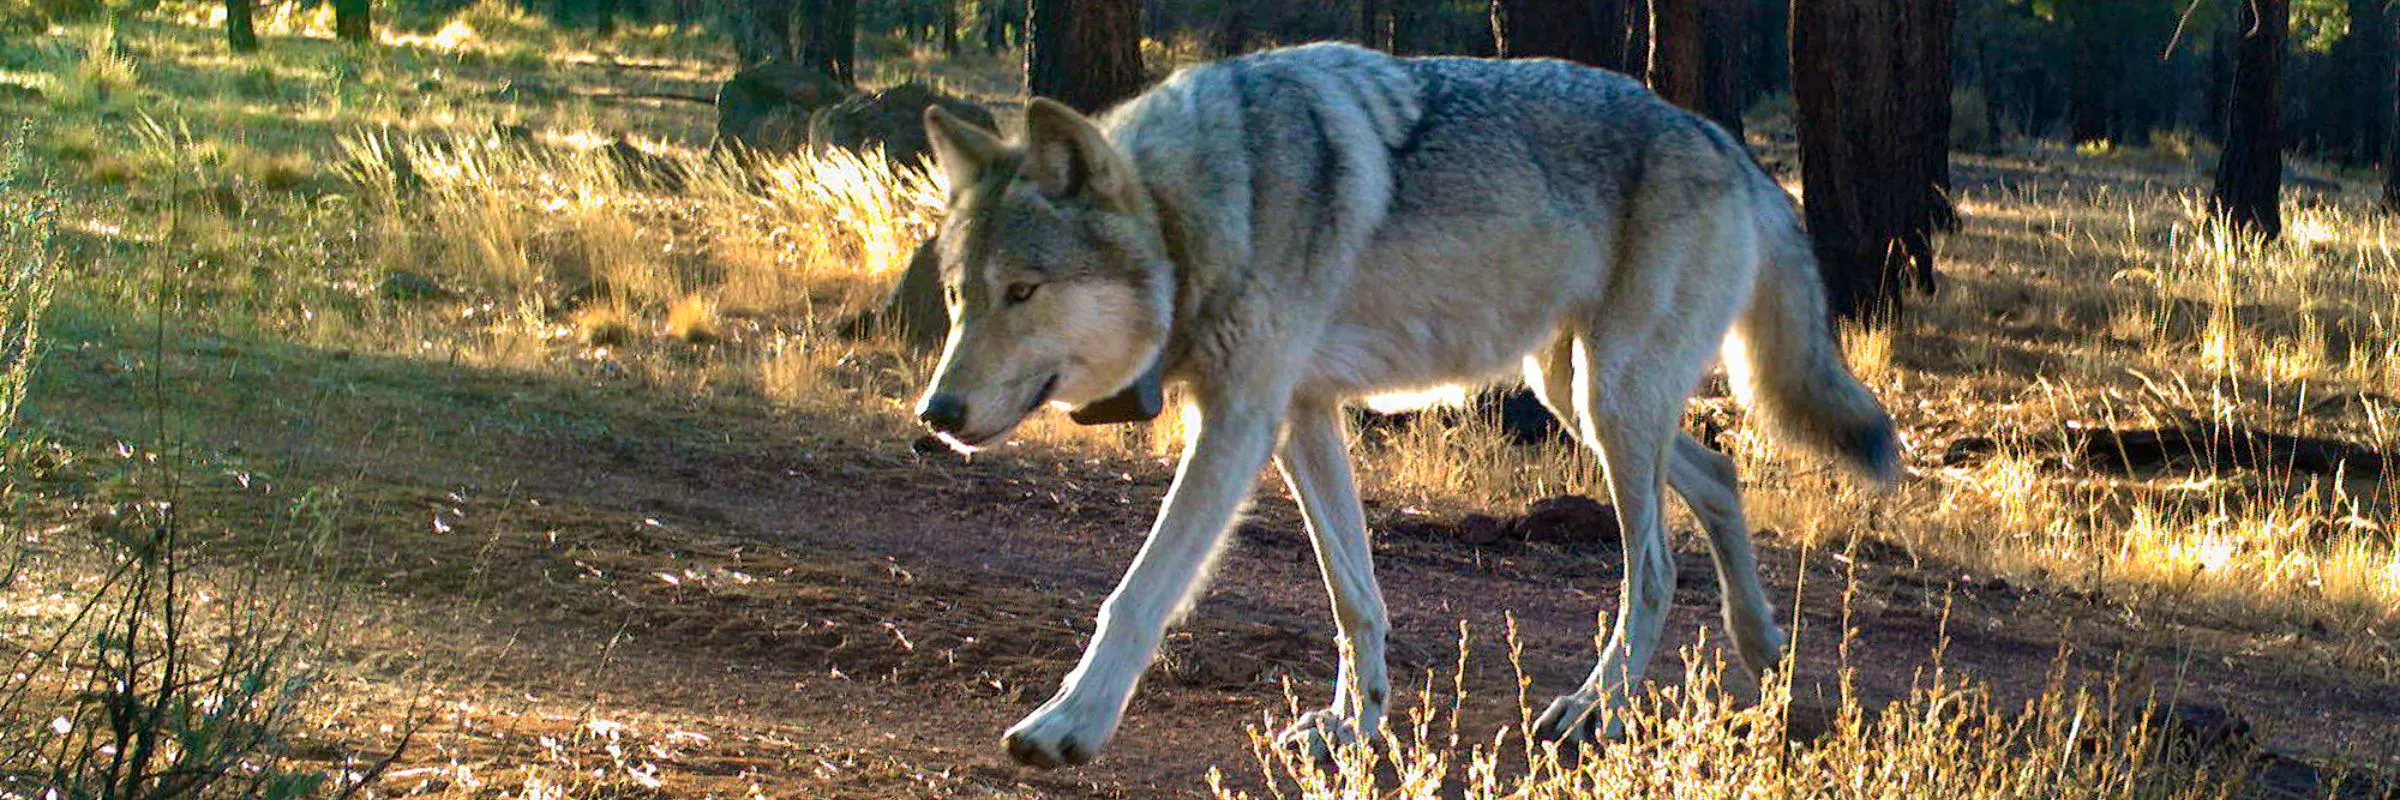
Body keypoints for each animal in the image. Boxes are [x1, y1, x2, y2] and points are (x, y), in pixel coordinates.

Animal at [910, 42, 1900, 768]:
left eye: (1023, 292)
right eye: (958, 296)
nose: (936, 414)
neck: (1198, 212)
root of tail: (1725, 141)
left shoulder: (1237, 422)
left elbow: (1139, 594)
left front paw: (1066, 725)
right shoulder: (1301, 418)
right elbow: (1354, 595)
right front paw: (1353, 727)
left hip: (1611, 400)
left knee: (1653, 567)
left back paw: (1596, 710)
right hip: (1580, 396)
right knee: (1721, 475)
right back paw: (1762, 645)